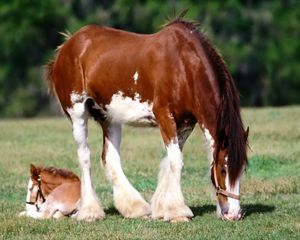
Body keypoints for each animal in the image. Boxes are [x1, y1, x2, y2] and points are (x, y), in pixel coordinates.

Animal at [47, 17, 248, 222]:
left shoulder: (185, 124)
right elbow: (176, 161)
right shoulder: (165, 117)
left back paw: (135, 207)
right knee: (84, 156)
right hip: (78, 113)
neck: (183, 66)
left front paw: (162, 208)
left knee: (110, 158)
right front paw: (178, 211)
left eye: (243, 170)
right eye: (223, 170)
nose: (234, 214)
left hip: (109, 117)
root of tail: (67, 45)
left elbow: (170, 161)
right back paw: (90, 211)